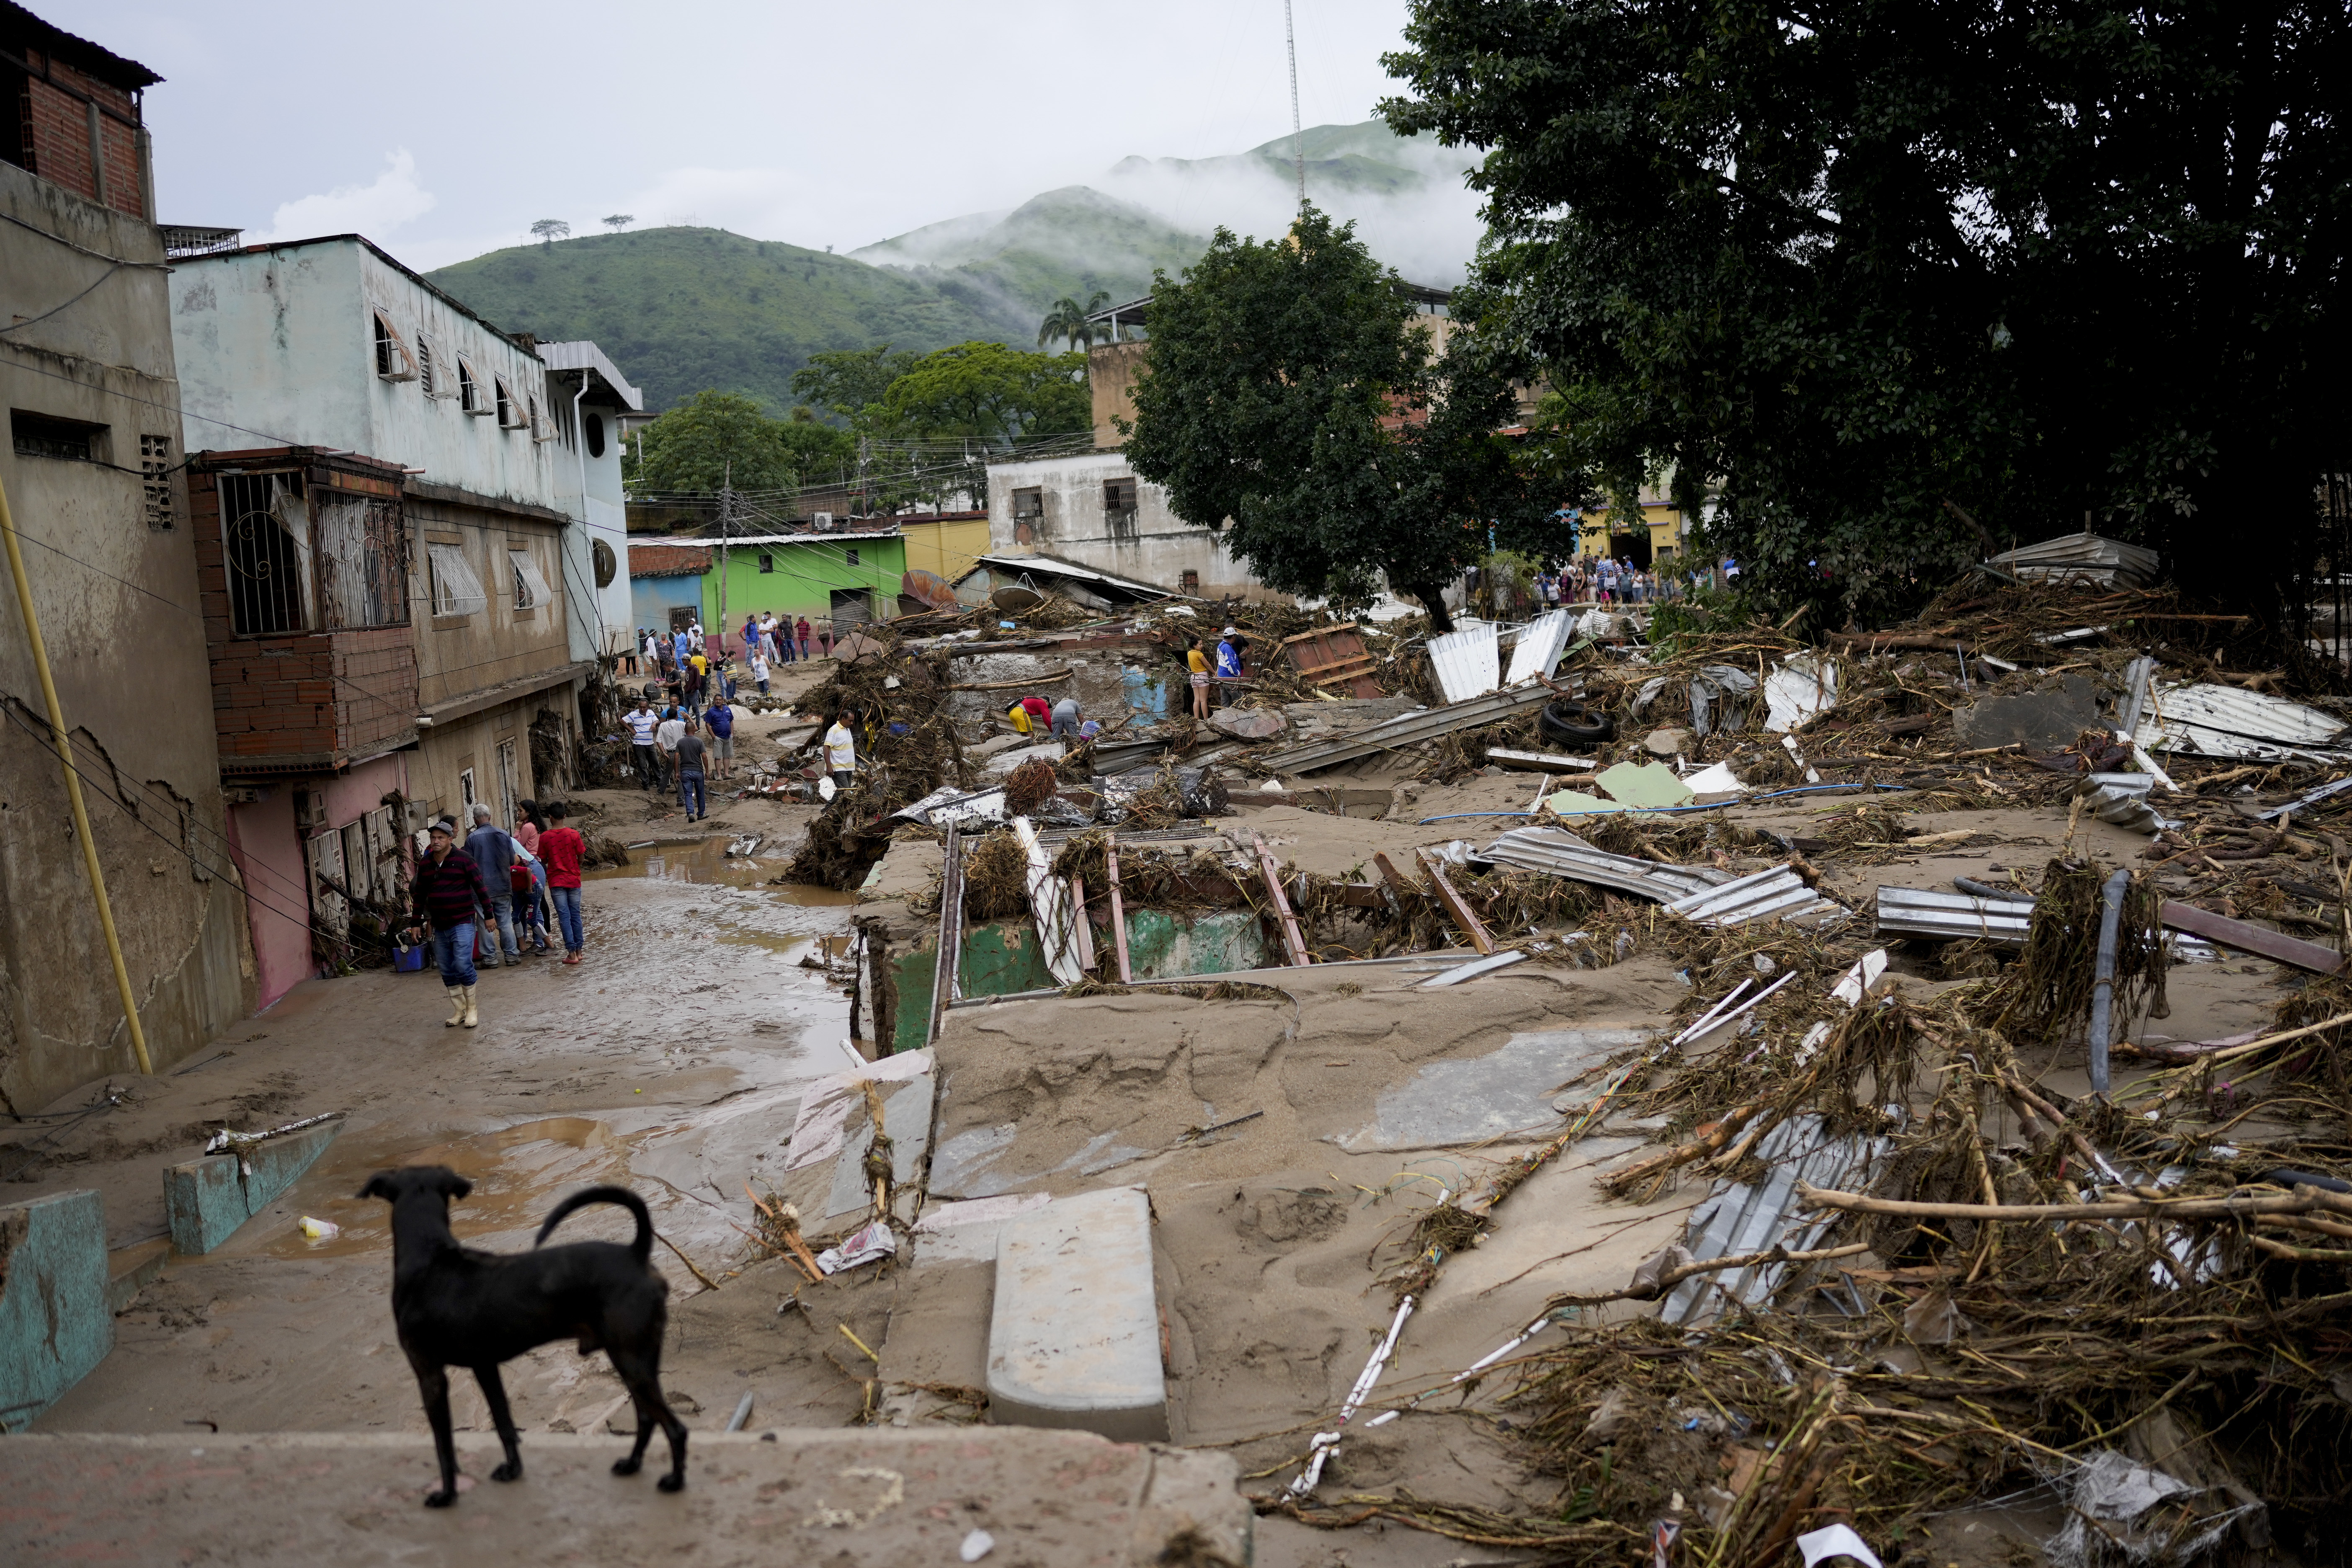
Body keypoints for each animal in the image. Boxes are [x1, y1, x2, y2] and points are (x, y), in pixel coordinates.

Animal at [353, 1166, 686, 1504]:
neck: (430, 1259)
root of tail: (636, 1254)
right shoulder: (485, 1367)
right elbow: (504, 1424)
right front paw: (513, 1470)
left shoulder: (430, 1376)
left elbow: (443, 1445)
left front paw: (447, 1494)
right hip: (634, 1362)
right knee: (647, 1418)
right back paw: (632, 1465)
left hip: (631, 1360)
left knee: (675, 1428)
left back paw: (674, 1481)